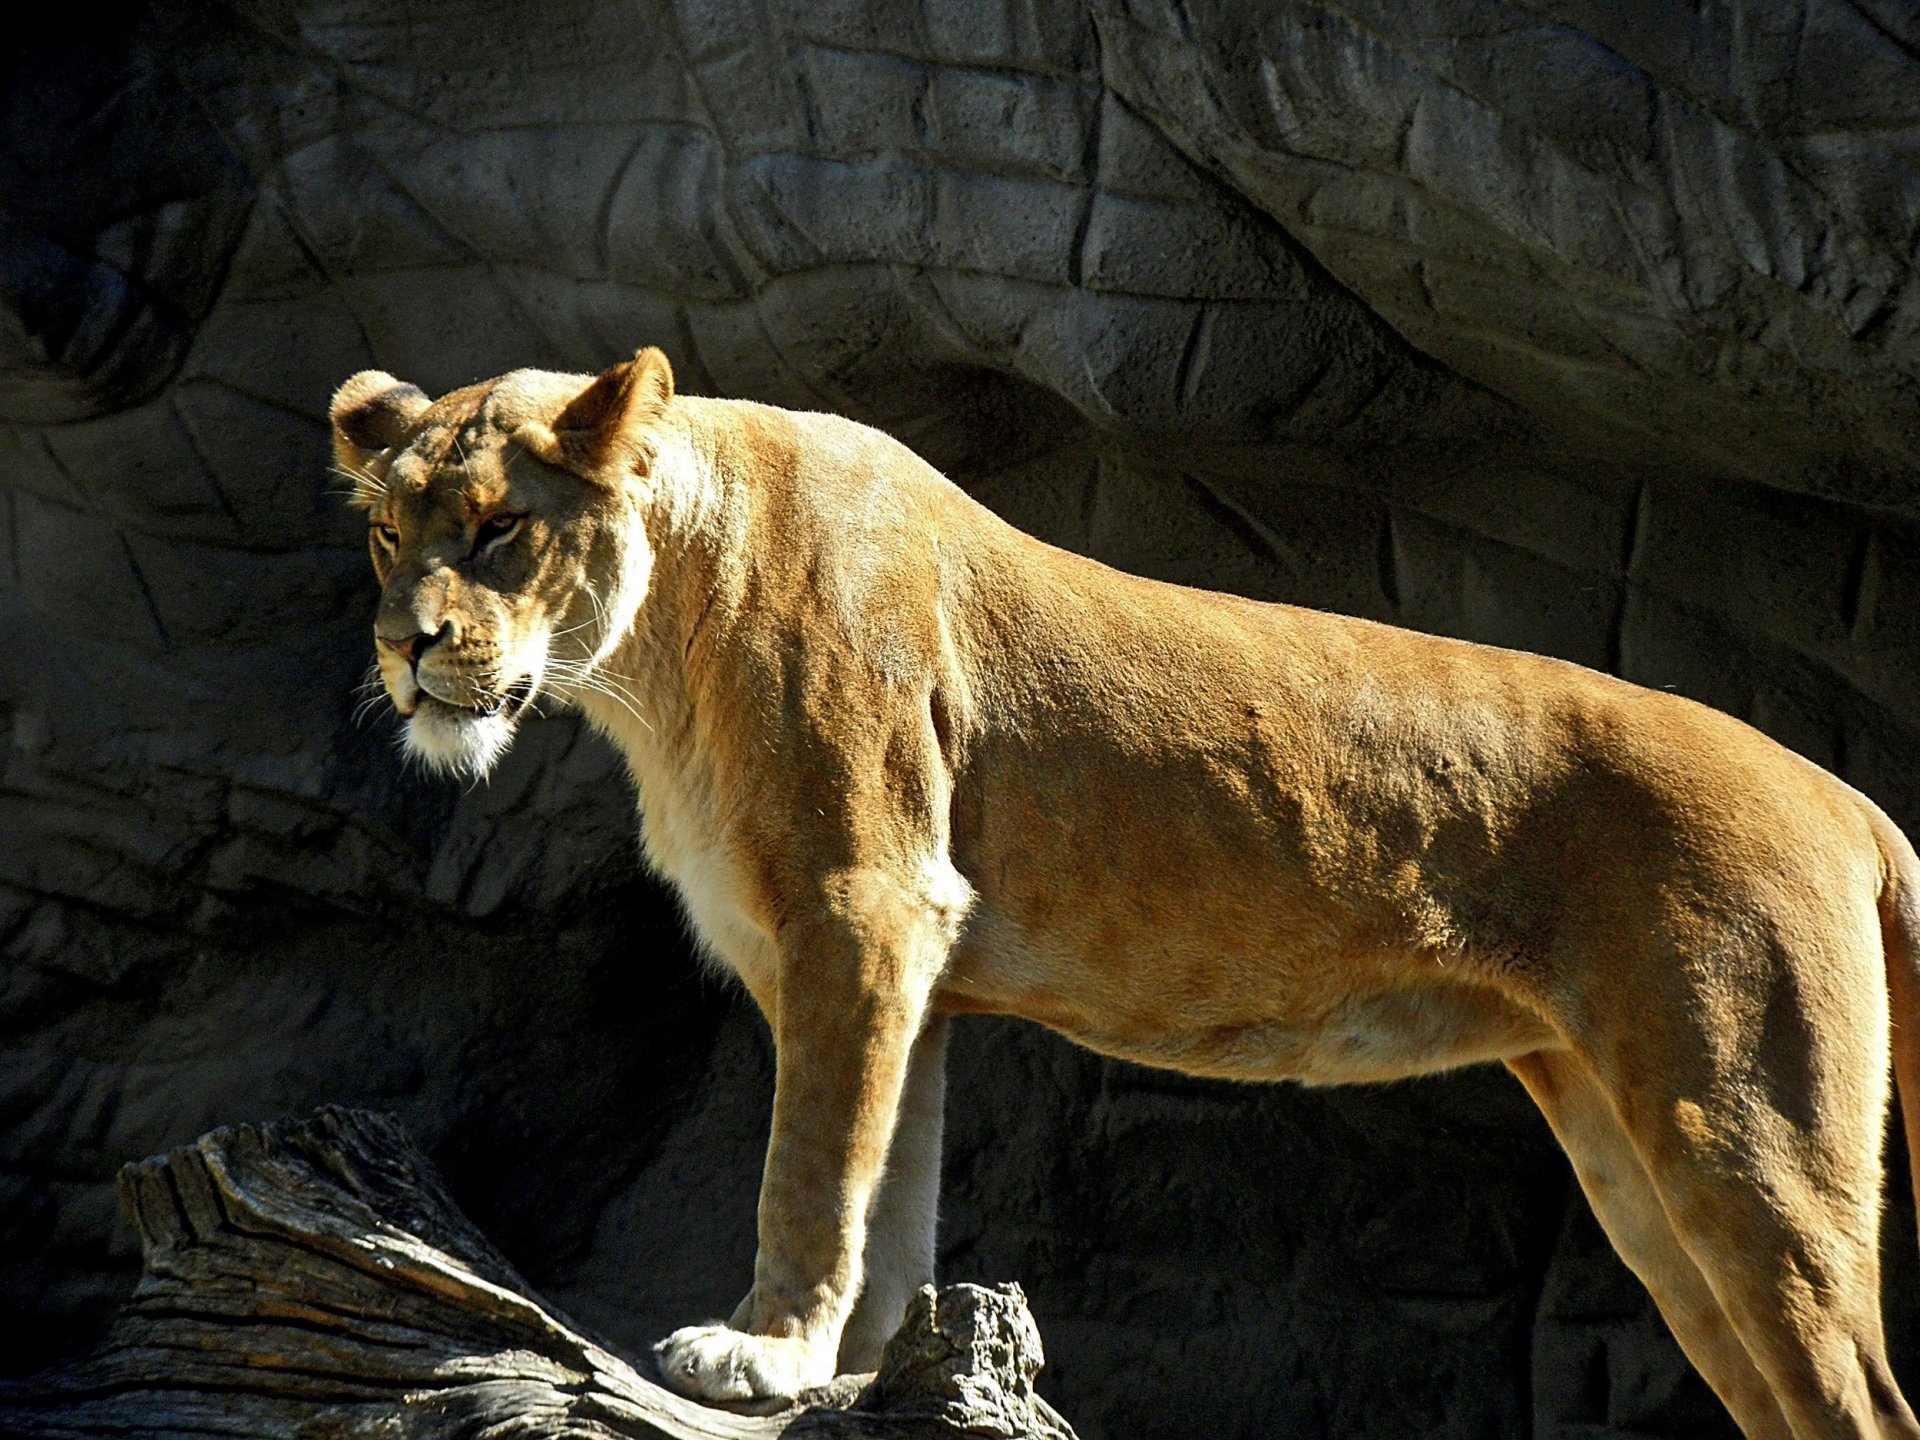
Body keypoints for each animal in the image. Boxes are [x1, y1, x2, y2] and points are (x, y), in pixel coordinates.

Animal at [332, 348, 1920, 1439]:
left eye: (498, 531)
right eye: (389, 536)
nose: (409, 647)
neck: (653, 658)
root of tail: (1852, 801)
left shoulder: (866, 907)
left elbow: (812, 1164)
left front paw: (762, 1354)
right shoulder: (910, 964)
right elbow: (895, 1186)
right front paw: (866, 1376)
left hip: (1745, 1135)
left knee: (1865, 1401)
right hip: (1632, 1163)